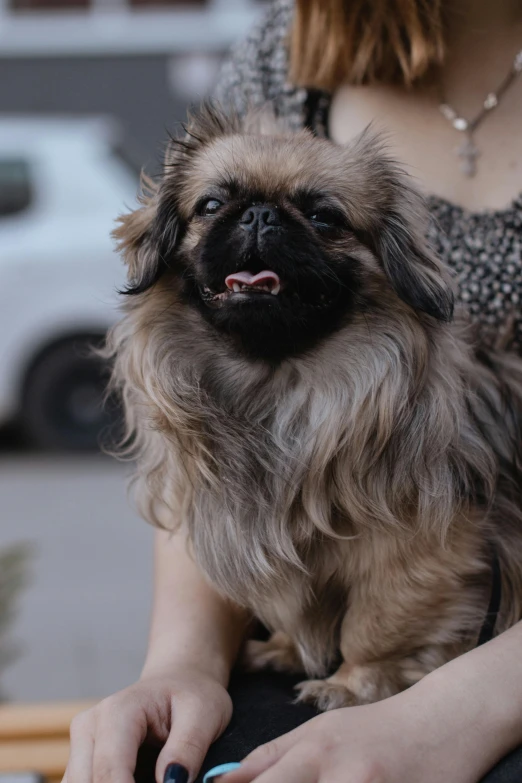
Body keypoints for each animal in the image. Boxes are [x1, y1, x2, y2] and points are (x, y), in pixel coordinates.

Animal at [107, 104, 520, 712]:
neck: (277, 388)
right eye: (211, 205)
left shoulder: (421, 554)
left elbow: (375, 626)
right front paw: (283, 648)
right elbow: (292, 604)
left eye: (324, 217)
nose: (259, 214)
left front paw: (348, 685)